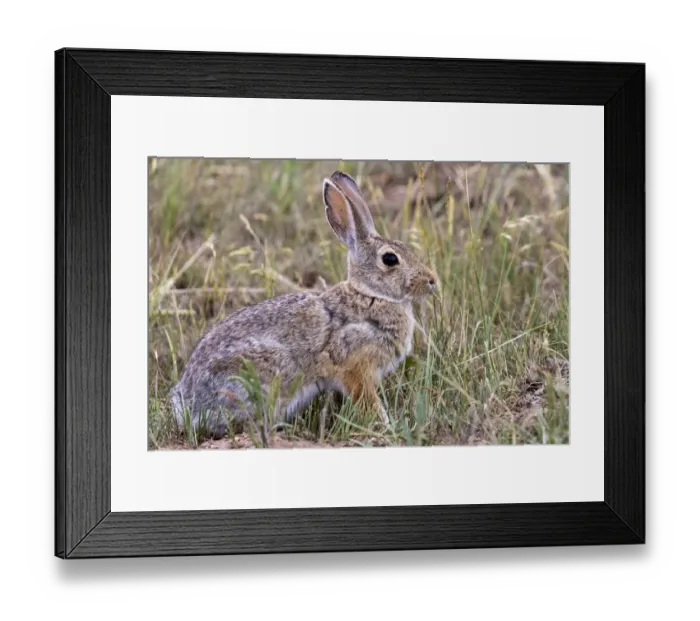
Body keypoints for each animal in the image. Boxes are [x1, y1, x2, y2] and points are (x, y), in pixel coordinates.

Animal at [170, 170, 439, 439]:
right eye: (390, 259)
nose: (431, 281)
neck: (371, 294)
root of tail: (189, 407)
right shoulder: (356, 366)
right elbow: (368, 400)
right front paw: (386, 425)